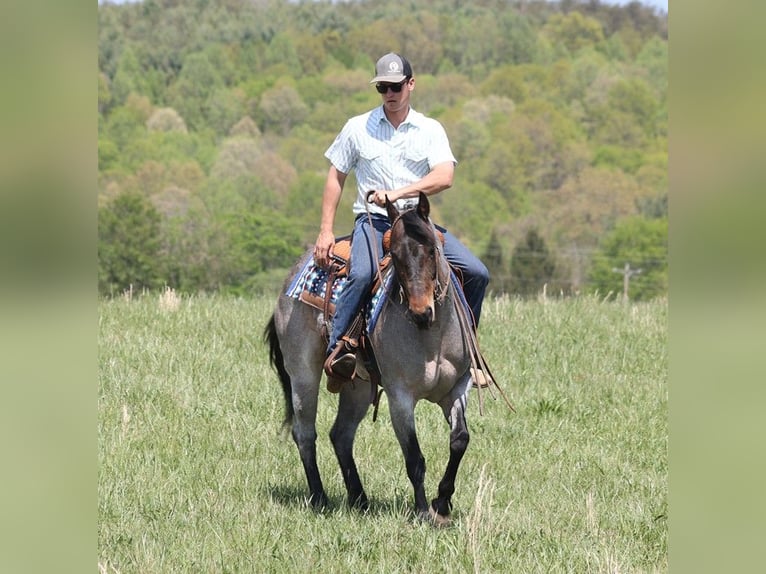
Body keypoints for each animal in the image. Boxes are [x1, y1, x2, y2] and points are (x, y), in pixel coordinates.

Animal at [268, 194, 476, 528]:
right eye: (395, 255)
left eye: (432, 249)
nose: (421, 311)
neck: (432, 335)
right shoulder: (400, 397)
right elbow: (414, 458)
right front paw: (422, 511)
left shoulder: (458, 387)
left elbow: (459, 440)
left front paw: (441, 505)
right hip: (303, 373)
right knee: (305, 433)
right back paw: (319, 498)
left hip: (358, 386)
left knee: (340, 435)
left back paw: (359, 498)